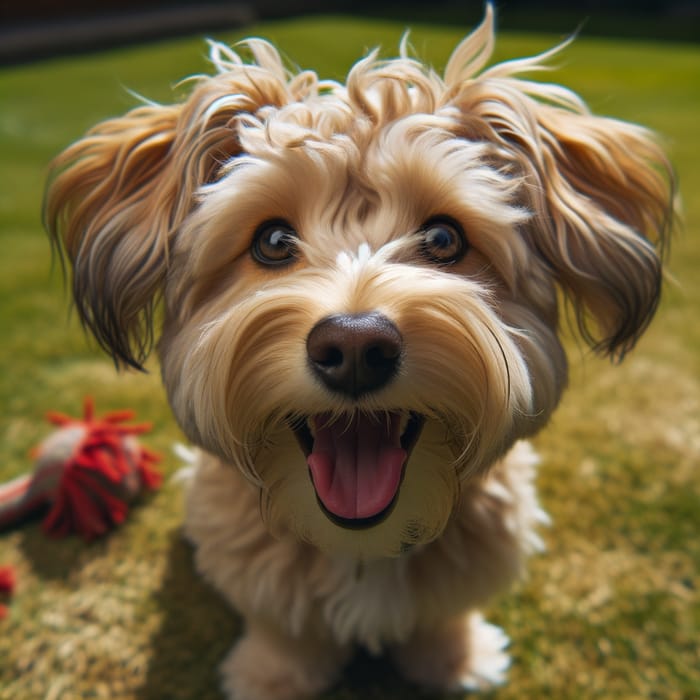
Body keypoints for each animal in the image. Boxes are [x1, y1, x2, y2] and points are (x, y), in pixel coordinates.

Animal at [43, 6, 672, 700]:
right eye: (272, 241)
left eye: (444, 239)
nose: (353, 345)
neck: (362, 546)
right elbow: (282, 627)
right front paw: (273, 677)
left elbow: (441, 616)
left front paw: (453, 660)